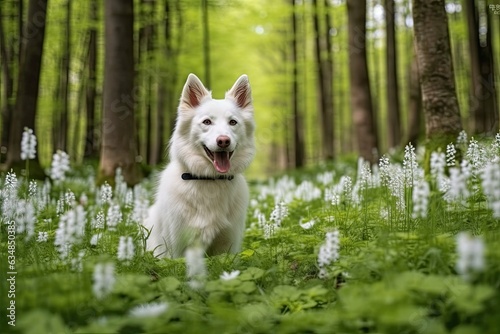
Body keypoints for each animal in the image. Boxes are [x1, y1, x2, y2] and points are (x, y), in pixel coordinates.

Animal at [144, 73, 254, 258]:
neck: (210, 179)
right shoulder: (179, 247)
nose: (223, 141)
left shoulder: (227, 246)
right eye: (207, 122)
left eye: (233, 122)